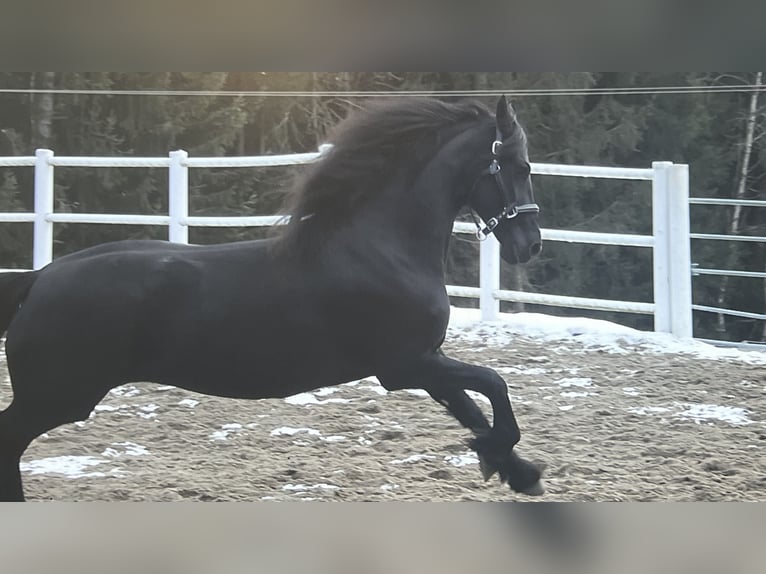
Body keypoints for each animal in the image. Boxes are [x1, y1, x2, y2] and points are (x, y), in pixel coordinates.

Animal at [0, 97, 544, 502]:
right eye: (519, 166)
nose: (531, 245)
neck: (380, 247)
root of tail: (40, 278)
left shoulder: (425, 362)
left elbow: (471, 406)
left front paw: (516, 471)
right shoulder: (403, 366)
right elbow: (493, 385)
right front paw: (497, 453)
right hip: (58, 396)